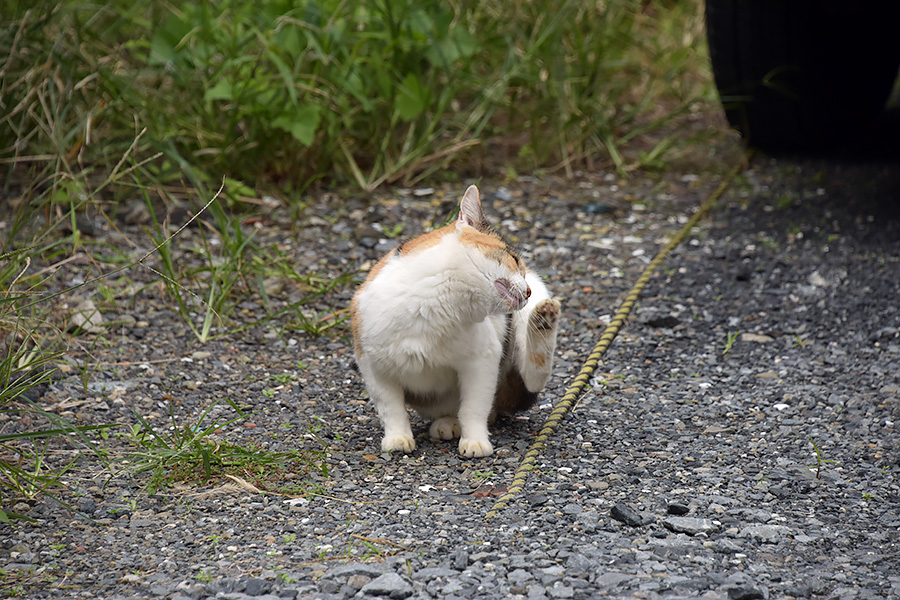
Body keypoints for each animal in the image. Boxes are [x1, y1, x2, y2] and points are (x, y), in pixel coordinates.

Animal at [348, 185, 560, 458]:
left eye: (521, 265)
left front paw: (475, 441)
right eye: (514, 259)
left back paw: (543, 322)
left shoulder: (482, 360)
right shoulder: (373, 364)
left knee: (532, 377)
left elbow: (474, 407)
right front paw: (397, 438)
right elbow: (390, 407)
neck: (435, 302)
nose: (529, 291)